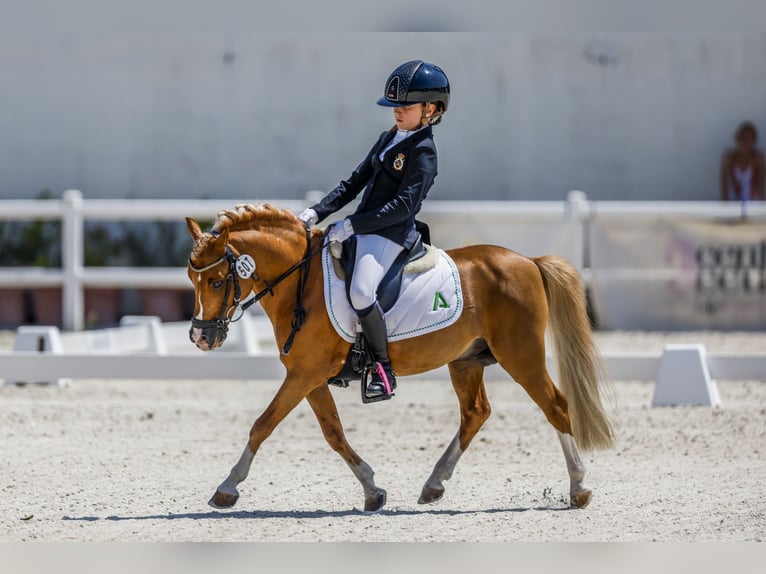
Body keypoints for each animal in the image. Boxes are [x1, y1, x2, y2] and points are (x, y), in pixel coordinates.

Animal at [188, 204, 616, 512]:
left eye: (217, 281)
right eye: (193, 280)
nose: (200, 337)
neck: (300, 282)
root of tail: (528, 261)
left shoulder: (305, 374)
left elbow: (261, 425)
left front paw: (226, 488)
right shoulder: (308, 376)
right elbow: (333, 433)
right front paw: (372, 490)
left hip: (521, 355)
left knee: (555, 406)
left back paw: (579, 487)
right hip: (466, 360)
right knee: (475, 412)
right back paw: (434, 485)